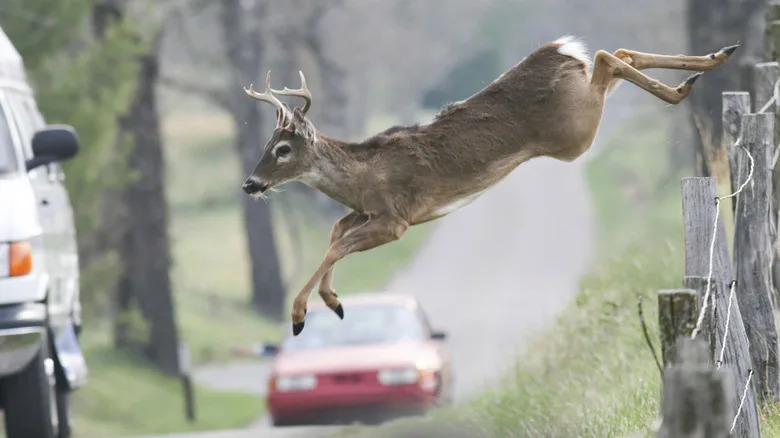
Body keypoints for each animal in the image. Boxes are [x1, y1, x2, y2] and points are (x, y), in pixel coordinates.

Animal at [240, 36, 738, 336]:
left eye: (281, 149)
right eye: (265, 144)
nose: (250, 183)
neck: (361, 175)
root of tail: (559, 50)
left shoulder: (396, 219)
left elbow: (337, 244)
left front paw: (301, 315)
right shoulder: (367, 213)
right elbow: (335, 233)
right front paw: (333, 300)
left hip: (576, 131)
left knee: (607, 57)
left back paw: (686, 84)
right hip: (582, 112)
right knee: (617, 55)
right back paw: (713, 60)